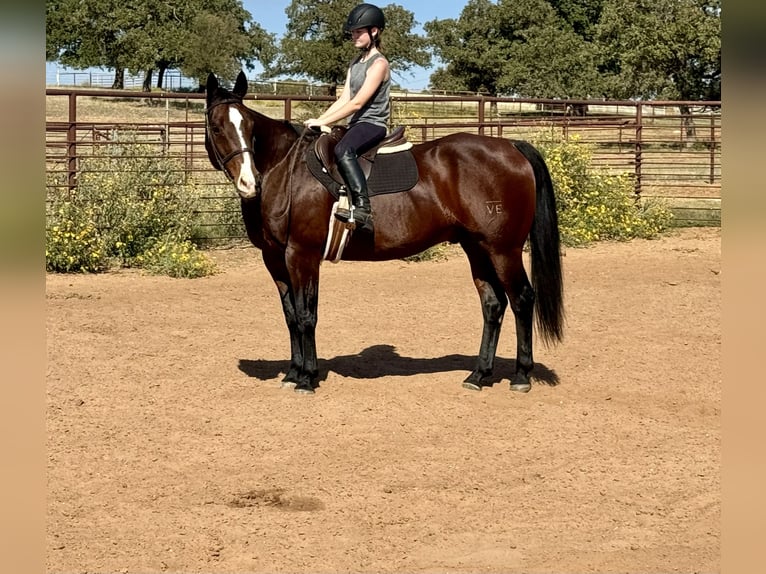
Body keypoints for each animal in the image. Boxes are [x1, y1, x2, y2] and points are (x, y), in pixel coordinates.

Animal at [204, 72, 564, 396]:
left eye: (249, 129)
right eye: (218, 127)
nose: (250, 183)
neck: (286, 171)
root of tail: (510, 146)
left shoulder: (302, 255)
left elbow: (307, 315)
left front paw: (306, 378)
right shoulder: (275, 258)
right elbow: (291, 315)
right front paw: (292, 373)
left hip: (503, 250)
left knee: (521, 300)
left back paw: (521, 376)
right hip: (477, 248)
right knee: (493, 304)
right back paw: (479, 374)